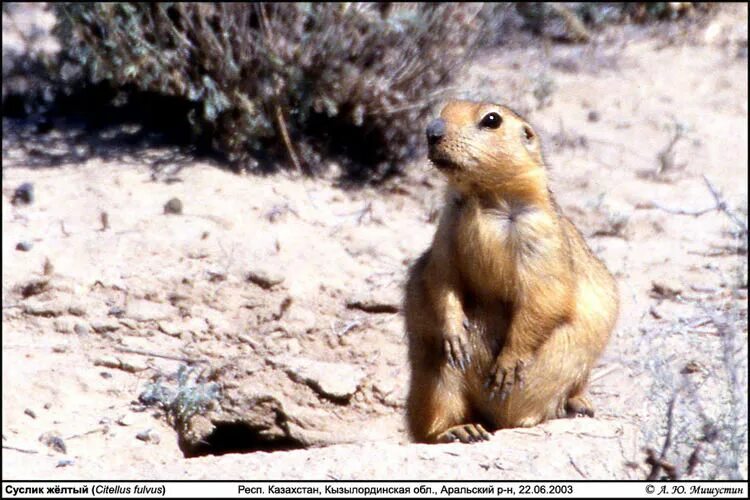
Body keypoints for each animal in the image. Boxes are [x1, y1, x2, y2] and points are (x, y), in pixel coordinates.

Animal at [408, 99, 620, 444]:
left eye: (492, 119)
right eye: (445, 108)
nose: (431, 131)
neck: (484, 198)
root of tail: (506, 420)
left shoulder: (539, 235)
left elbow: (545, 295)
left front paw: (506, 366)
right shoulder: (446, 230)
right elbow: (442, 277)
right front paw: (455, 337)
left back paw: (575, 405)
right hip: (436, 380)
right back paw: (462, 429)